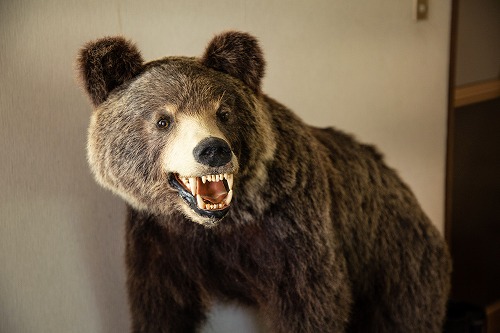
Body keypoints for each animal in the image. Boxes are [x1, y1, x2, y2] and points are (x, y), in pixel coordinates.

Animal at [77, 31, 454, 332]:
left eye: (223, 112)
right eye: (163, 120)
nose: (213, 150)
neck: (221, 227)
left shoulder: (293, 229)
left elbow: (311, 303)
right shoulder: (159, 238)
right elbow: (160, 306)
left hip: (398, 264)